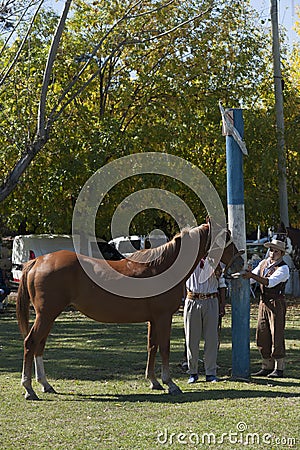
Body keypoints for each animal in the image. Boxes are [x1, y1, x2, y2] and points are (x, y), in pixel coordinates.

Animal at [16, 223, 243, 400]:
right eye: (226, 237)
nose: (240, 262)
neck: (162, 267)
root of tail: (37, 261)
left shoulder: (154, 319)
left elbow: (152, 347)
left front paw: (154, 381)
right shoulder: (163, 317)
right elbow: (164, 348)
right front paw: (170, 384)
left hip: (48, 316)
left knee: (39, 346)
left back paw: (45, 385)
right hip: (46, 315)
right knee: (30, 343)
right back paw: (29, 388)